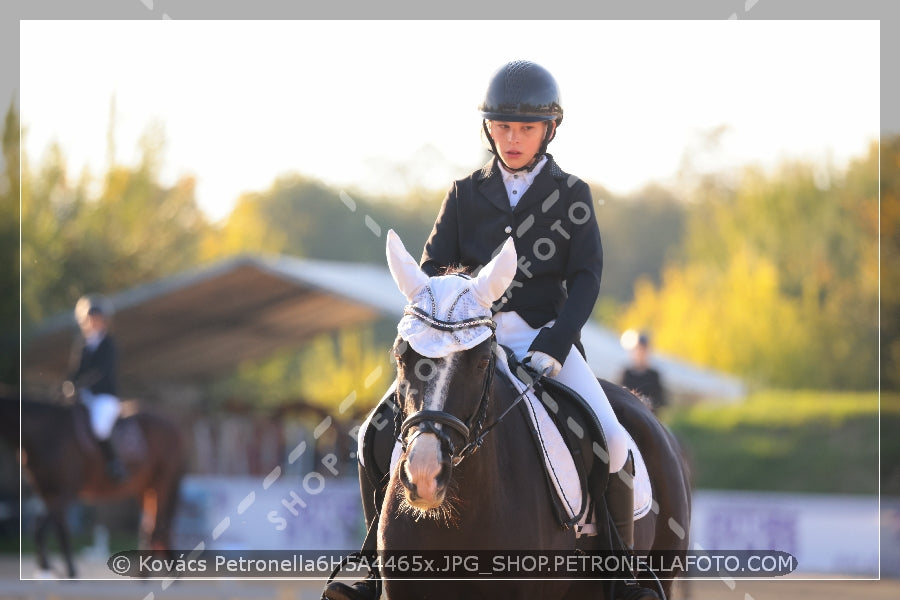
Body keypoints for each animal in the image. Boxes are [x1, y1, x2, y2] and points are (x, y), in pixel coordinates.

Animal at [0, 392, 185, 580]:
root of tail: (172, 426)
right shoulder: (47, 493)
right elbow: (59, 531)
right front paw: (66, 571)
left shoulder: (66, 492)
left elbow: (40, 528)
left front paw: (48, 566)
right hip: (146, 488)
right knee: (155, 526)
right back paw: (168, 575)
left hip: (163, 482)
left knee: (157, 527)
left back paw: (146, 576)